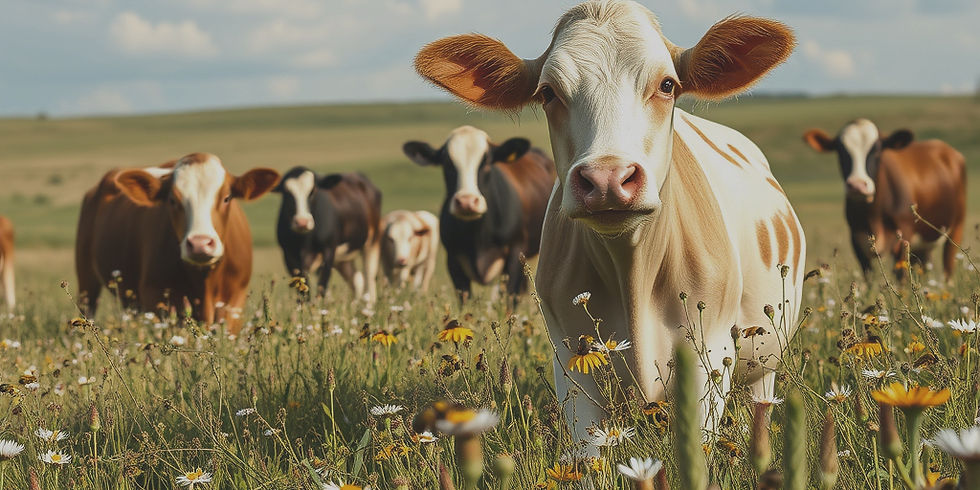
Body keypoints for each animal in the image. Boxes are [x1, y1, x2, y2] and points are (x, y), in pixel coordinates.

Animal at [75, 153, 279, 332]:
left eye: (227, 198)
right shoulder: (156, 297)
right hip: (86, 279)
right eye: (172, 200)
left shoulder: (234, 300)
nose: (200, 243)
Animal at [273, 167, 382, 302]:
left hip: (372, 241)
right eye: (287, 193)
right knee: (357, 280)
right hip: (342, 259)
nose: (302, 222)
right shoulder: (289, 256)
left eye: (312, 191)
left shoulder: (329, 251)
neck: (305, 241)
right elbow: (303, 292)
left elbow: (321, 288)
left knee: (369, 278)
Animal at [403, 126, 556, 303]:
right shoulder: (453, 259)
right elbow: (465, 298)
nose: (467, 201)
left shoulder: (516, 252)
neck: (478, 235)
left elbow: (509, 298)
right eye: (447, 163)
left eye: (487, 161)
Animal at [803, 119, 966, 280]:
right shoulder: (857, 240)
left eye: (876, 151)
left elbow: (901, 276)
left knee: (948, 268)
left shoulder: (904, 236)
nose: (857, 185)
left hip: (956, 228)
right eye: (841, 151)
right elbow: (869, 277)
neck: (873, 215)